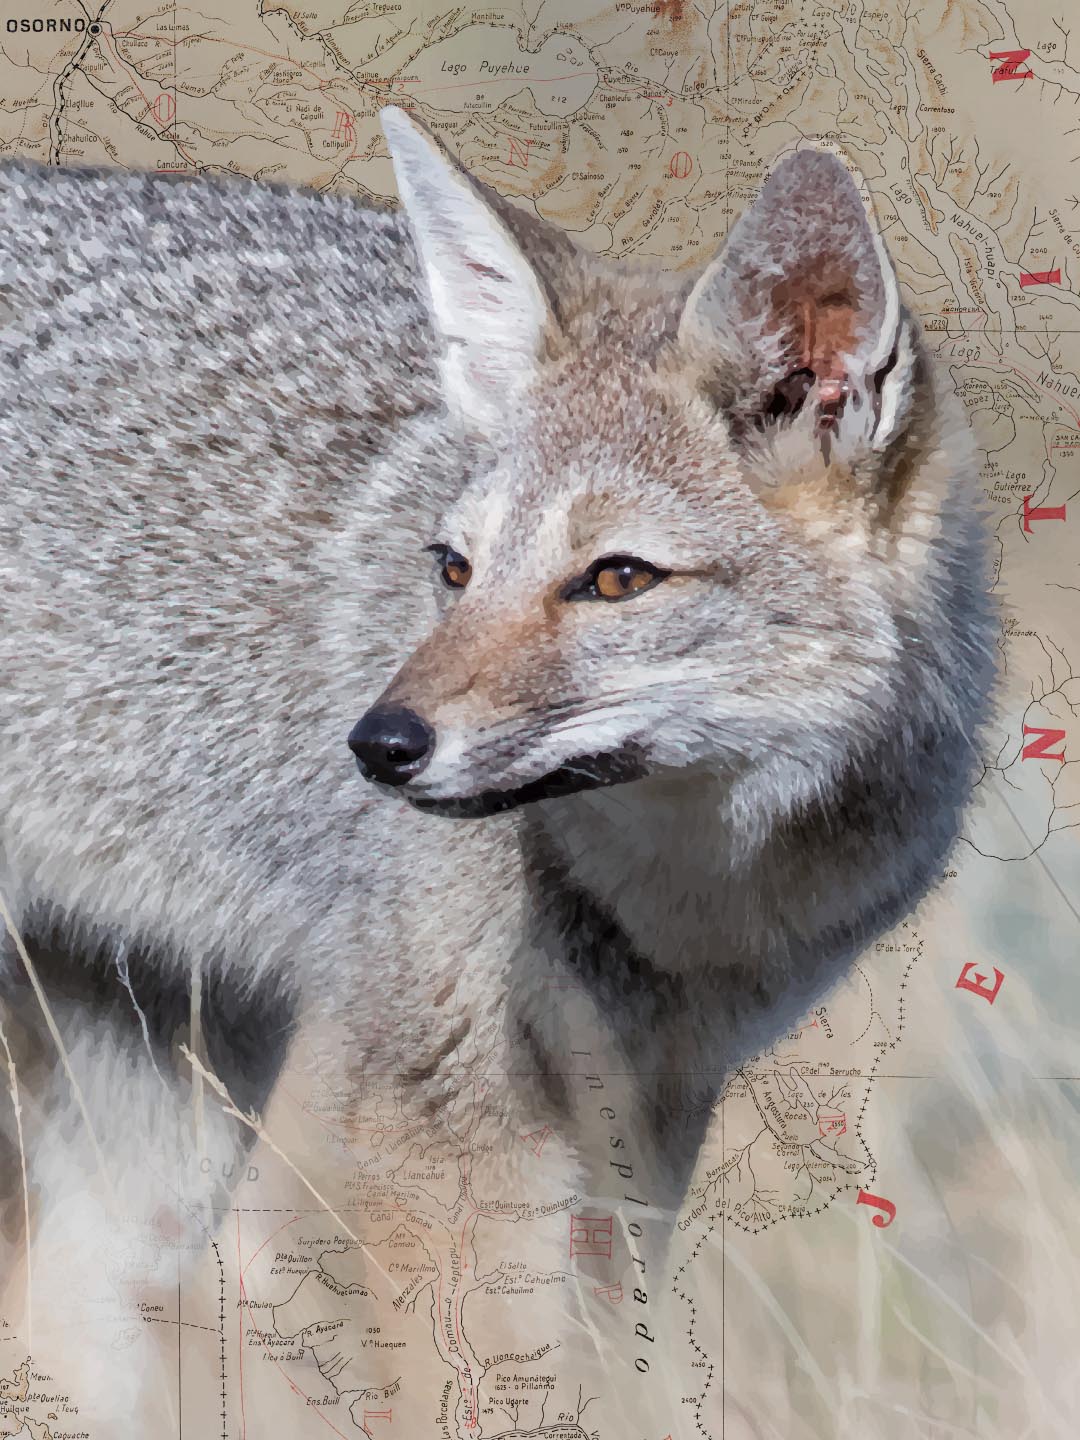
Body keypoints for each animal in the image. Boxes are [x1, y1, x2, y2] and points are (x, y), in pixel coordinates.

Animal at [0, 106, 998, 1427]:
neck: (694, 887)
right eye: (453, 569)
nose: (378, 745)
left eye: (617, 579)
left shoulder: (652, 1113)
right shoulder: (442, 1128)